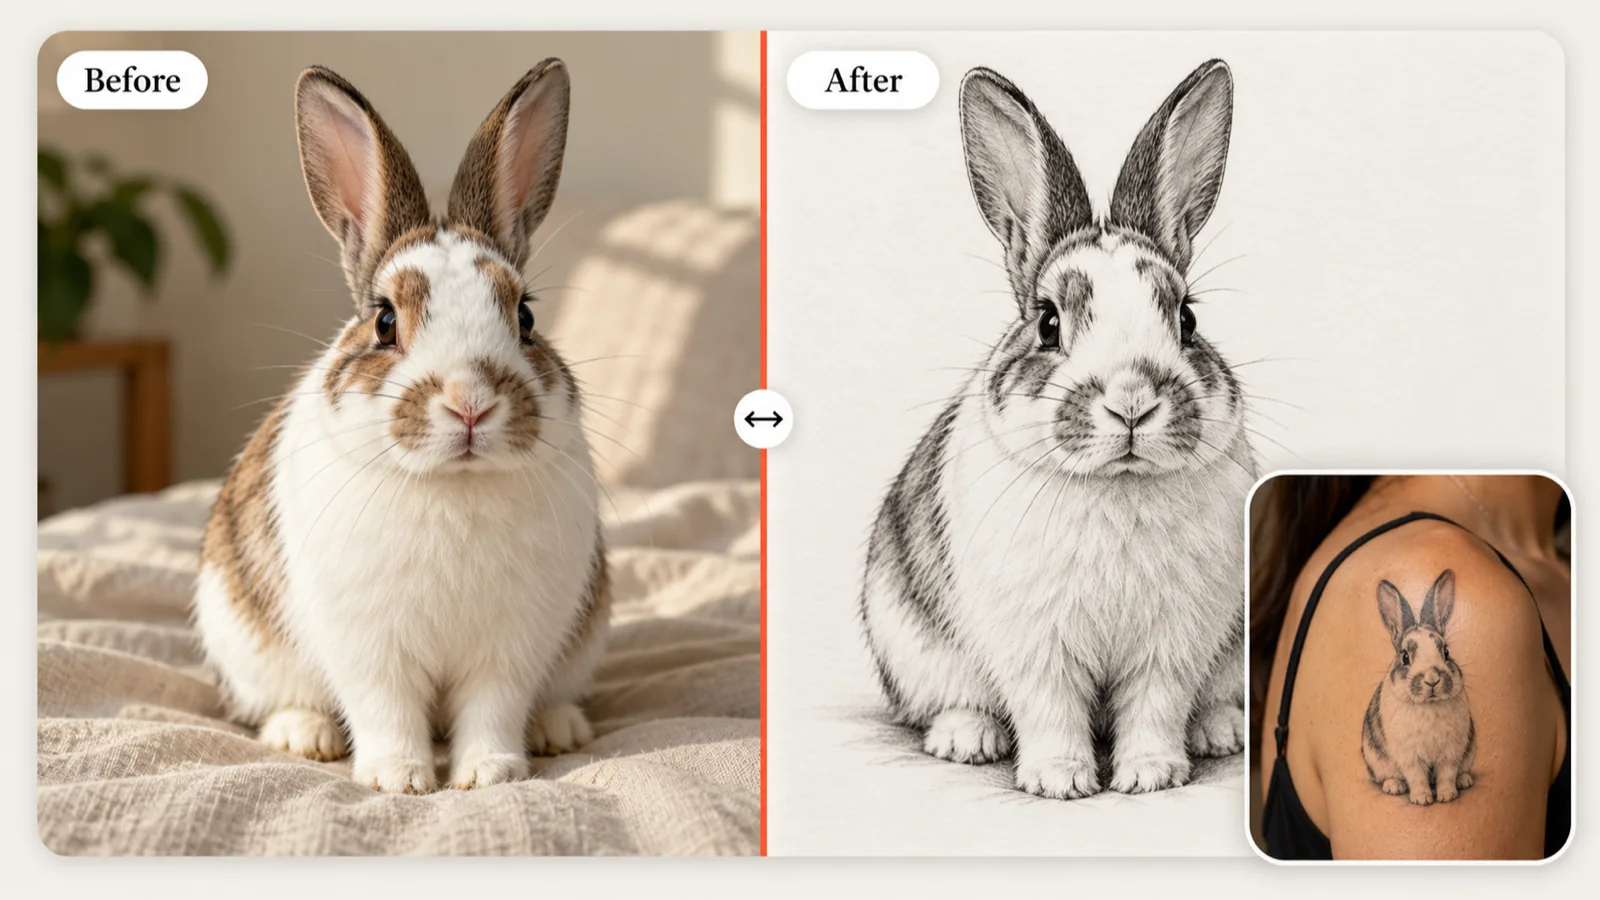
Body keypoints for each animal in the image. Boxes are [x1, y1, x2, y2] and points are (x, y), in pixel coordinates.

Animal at [191, 60, 611, 794]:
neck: (452, 484)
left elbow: (493, 707)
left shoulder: (510, 647)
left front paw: (488, 774)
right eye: (385, 320)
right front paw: (401, 779)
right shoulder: (368, 646)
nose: (470, 402)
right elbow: (384, 708)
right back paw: (305, 735)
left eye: (526, 316)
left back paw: (558, 729)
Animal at [859, 60, 1255, 800]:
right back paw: (968, 739)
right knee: (953, 700)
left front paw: (1149, 775)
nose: (1132, 402)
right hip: (911, 644)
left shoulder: (1173, 643)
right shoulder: (1034, 642)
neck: (1115, 485)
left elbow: (1156, 704)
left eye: (1186, 318)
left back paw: (1221, 731)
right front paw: (1061, 781)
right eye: (1048, 322)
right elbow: (1049, 705)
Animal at [1362, 570, 1476, 805]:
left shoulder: (1451, 753)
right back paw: (1394, 786)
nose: (1432, 679)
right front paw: (1422, 799)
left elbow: (1447, 774)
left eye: (1446, 652)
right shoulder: (1410, 756)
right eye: (1405, 657)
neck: (1428, 705)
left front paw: (1446, 796)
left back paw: (1464, 780)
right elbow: (1417, 776)